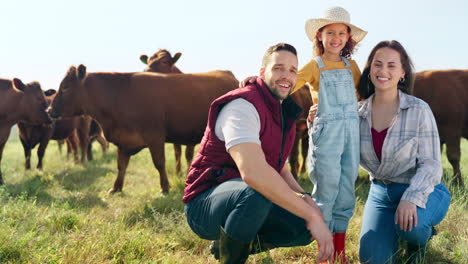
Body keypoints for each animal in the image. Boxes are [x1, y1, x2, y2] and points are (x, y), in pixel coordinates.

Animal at [50, 64, 238, 193]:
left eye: (65, 87)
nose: (49, 110)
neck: (119, 95)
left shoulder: (155, 137)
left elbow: (159, 163)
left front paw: (165, 187)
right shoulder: (124, 141)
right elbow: (121, 165)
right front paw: (116, 188)